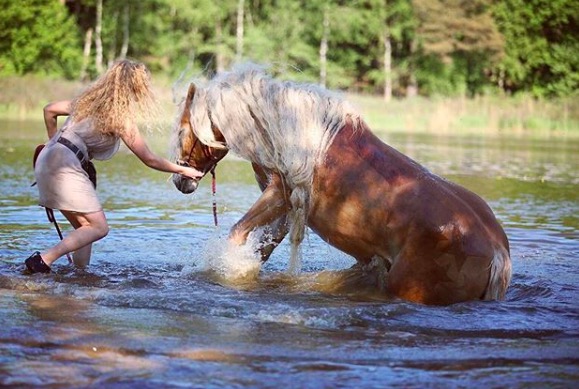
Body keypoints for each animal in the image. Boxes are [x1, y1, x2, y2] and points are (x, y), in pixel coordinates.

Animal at [171, 65, 512, 304]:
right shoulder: (286, 209)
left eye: (183, 130)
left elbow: (237, 233)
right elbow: (262, 245)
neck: (292, 132)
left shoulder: (279, 194)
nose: (180, 181)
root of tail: (497, 251)